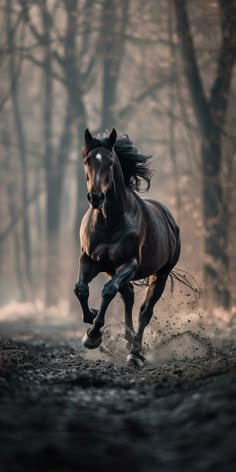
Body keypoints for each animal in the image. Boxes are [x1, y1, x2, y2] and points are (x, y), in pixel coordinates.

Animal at [74, 129, 181, 368]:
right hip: (111, 270)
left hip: (160, 273)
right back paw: (129, 339)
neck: (109, 221)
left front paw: (94, 334)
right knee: (129, 296)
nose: (96, 198)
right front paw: (91, 320)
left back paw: (135, 352)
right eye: (87, 161)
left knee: (144, 311)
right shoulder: (90, 260)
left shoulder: (129, 264)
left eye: (111, 162)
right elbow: (81, 289)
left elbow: (107, 292)